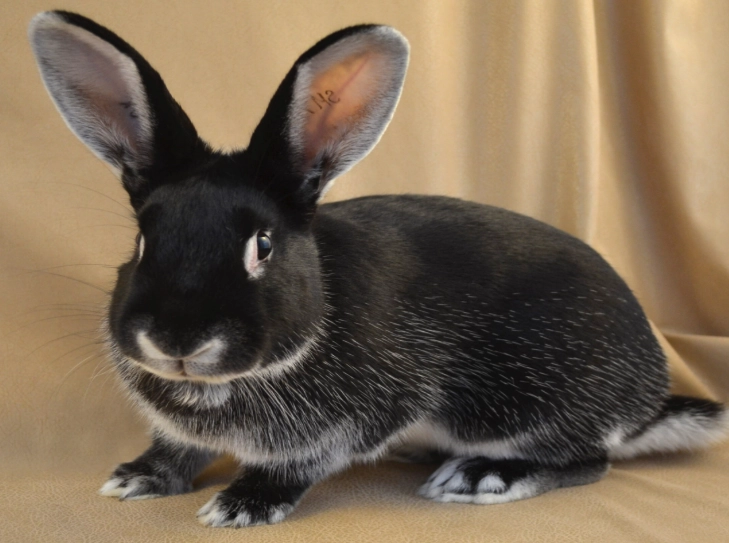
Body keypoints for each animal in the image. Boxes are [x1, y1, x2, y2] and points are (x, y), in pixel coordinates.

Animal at [29, 10, 728, 528]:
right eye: (143, 240)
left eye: (263, 245)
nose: (176, 340)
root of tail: (646, 398)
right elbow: (180, 445)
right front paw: (137, 477)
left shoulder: (360, 415)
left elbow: (302, 465)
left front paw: (243, 503)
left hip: (523, 406)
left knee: (590, 460)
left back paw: (480, 474)